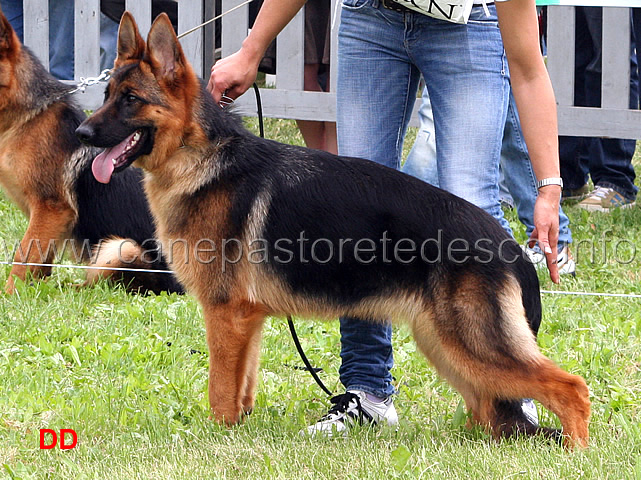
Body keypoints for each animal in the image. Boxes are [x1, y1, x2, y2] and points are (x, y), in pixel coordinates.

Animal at [0, 6, 181, 292]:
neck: (26, 117)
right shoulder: (47, 218)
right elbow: (40, 262)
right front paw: (35, 290)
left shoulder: (51, 208)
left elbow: (23, 257)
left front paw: (10, 294)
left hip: (119, 248)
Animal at [77, 12, 592, 446]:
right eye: (106, 98)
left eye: (131, 101)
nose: (81, 134)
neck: (201, 158)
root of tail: (509, 246)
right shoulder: (246, 319)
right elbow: (242, 385)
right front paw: (239, 427)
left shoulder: (224, 314)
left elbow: (220, 390)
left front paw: (215, 436)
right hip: (445, 344)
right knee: (492, 407)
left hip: (472, 343)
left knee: (572, 388)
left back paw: (575, 451)